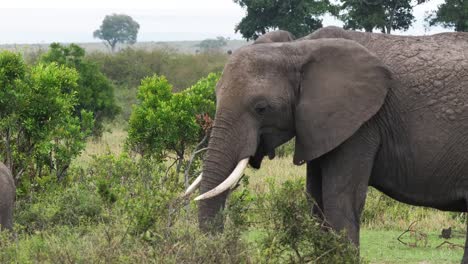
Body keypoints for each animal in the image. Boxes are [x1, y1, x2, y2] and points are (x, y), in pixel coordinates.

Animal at [185, 26, 468, 260]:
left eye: (261, 108)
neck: (297, 48)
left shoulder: (360, 123)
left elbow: (339, 200)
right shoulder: (320, 126)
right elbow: (316, 201)